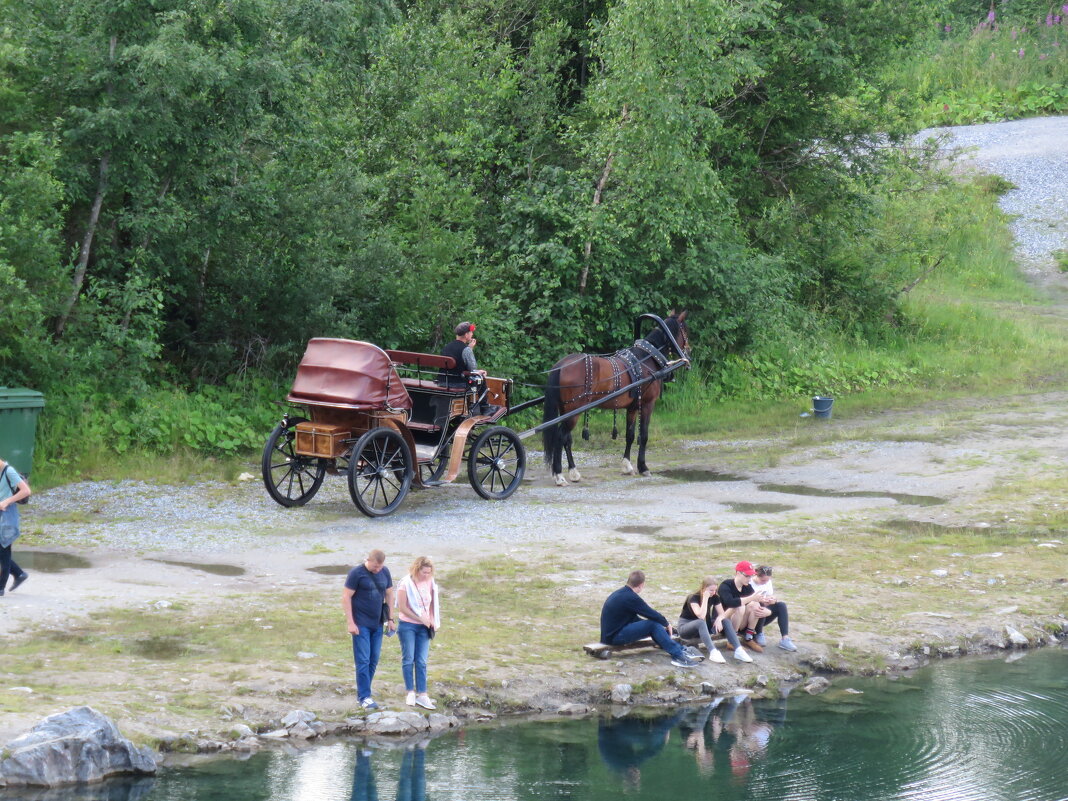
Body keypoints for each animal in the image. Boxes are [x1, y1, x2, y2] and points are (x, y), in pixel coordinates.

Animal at [542, 311, 692, 489]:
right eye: (685, 330)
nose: (689, 350)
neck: (646, 358)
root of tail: (561, 365)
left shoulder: (632, 407)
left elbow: (630, 435)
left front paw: (627, 466)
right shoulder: (647, 404)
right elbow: (644, 435)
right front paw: (643, 467)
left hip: (566, 411)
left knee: (566, 439)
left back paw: (573, 472)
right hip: (573, 412)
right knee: (560, 437)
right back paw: (559, 475)